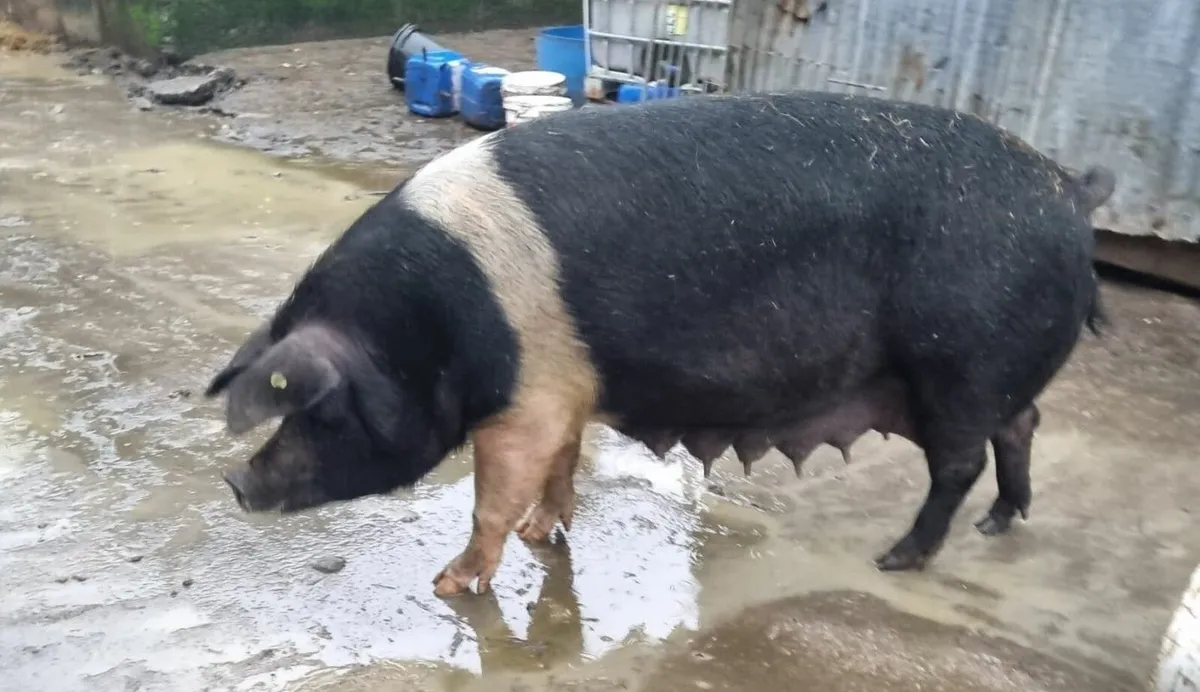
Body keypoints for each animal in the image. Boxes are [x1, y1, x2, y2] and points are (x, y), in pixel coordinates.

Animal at [204, 90, 1115, 597]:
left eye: (318, 412)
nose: (235, 482)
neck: (427, 327)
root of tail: (1071, 191)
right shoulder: (565, 392)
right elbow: (562, 467)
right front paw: (544, 535)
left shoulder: (526, 400)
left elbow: (493, 494)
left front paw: (452, 584)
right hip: (985, 372)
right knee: (1021, 426)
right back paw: (1000, 524)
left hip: (959, 361)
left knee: (959, 461)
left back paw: (898, 559)